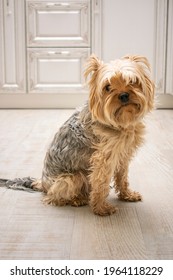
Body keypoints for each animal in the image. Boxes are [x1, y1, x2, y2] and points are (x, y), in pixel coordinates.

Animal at [0, 55, 154, 217]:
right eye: (107, 87)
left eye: (132, 81)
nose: (124, 95)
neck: (121, 121)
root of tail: (43, 183)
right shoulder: (103, 160)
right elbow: (100, 184)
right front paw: (101, 208)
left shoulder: (123, 155)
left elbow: (122, 177)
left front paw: (127, 195)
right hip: (72, 177)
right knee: (54, 196)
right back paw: (77, 199)